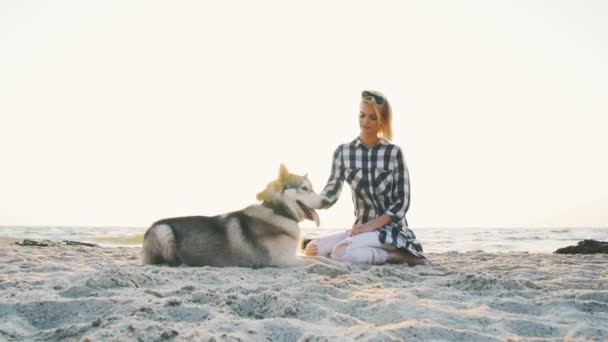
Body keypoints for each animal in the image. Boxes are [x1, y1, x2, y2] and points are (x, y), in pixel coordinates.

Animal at [141, 165, 324, 268]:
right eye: (304, 188)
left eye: (311, 188)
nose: (326, 200)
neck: (278, 211)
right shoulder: (282, 261)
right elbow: (315, 261)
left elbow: (321, 258)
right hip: (163, 230)